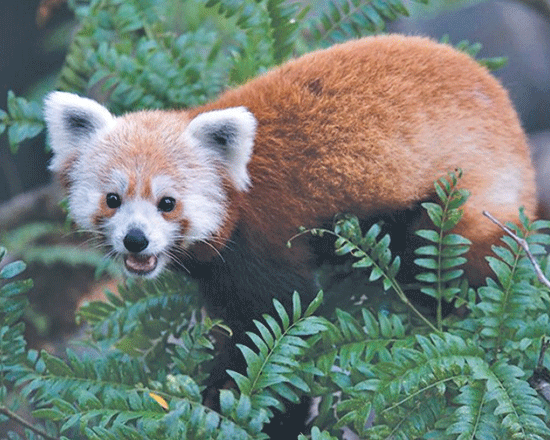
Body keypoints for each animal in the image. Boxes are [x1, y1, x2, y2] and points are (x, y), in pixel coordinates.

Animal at [46, 34, 540, 336]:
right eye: (113, 199)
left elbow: (274, 316)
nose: (136, 240)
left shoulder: (262, 241)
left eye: (167, 203)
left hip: (463, 192)